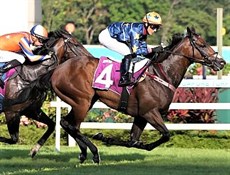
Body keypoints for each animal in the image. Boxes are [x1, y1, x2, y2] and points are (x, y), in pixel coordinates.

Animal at [0, 29, 91, 157]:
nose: (91, 57)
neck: (29, 75)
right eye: (76, 44)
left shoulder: (32, 110)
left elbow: (52, 125)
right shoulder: (11, 112)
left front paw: (34, 150)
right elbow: (14, 139)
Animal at [51, 27, 226, 163]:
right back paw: (93, 152)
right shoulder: (149, 112)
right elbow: (166, 135)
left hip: (85, 101)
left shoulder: (141, 116)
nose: (222, 62)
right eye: (202, 44)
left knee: (66, 123)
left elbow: (133, 141)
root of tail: (58, 69)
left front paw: (108, 138)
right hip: (82, 102)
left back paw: (84, 153)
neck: (162, 75)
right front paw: (103, 137)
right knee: (72, 125)